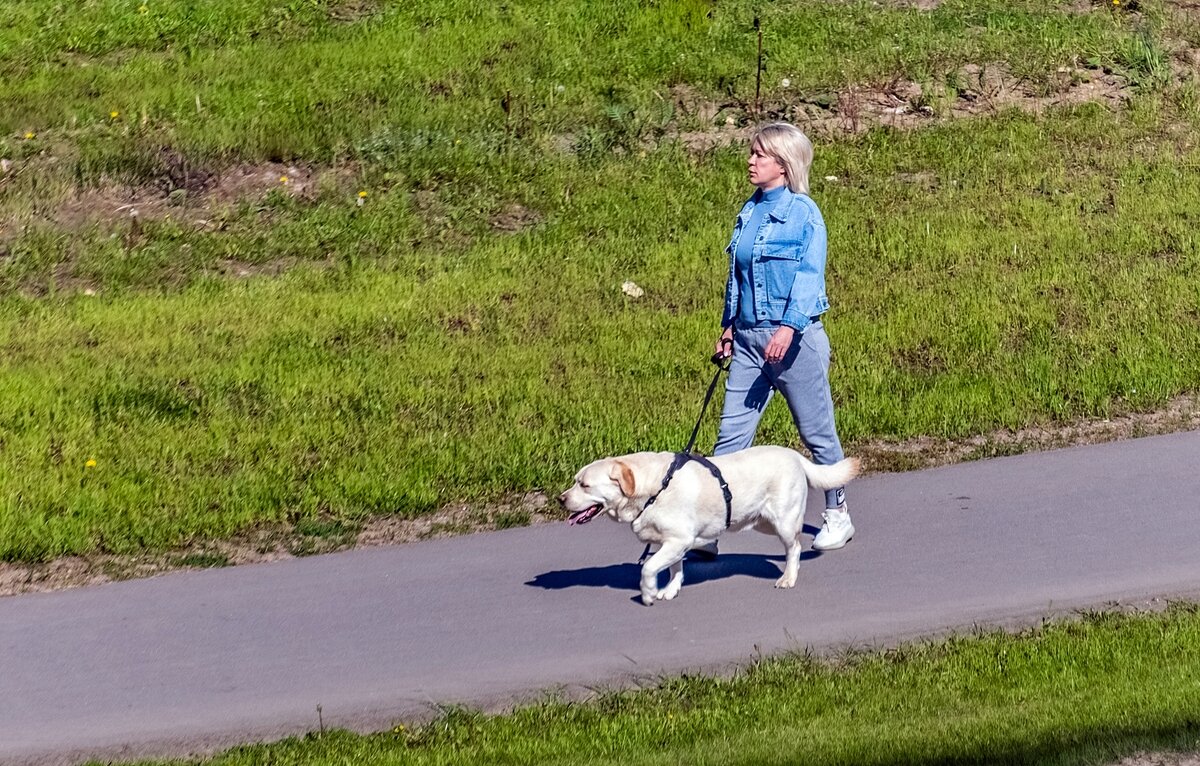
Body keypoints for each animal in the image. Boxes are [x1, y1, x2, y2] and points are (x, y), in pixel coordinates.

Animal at [556, 451, 859, 605]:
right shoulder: (670, 543)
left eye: (584, 485)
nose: (561, 498)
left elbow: (649, 567)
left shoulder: (678, 539)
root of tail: (795, 455)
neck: (653, 488)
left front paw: (648, 593)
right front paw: (670, 589)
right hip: (762, 522)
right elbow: (674, 568)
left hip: (782, 520)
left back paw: (788, 578)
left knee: (794, 547)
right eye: (575, 481)